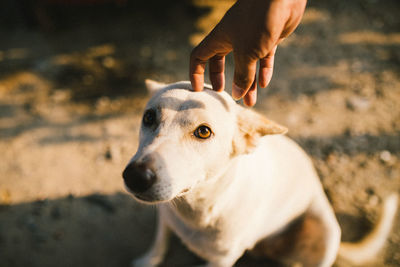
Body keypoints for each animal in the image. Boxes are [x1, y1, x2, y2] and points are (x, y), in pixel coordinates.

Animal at [122, 81, 396, 267]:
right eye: (149, 117)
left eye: (203, 132)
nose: (135, 176)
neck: (198, 208)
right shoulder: (165, 216)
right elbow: (160, 241)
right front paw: (148, 259)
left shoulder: (222, 259)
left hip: (327, 232)